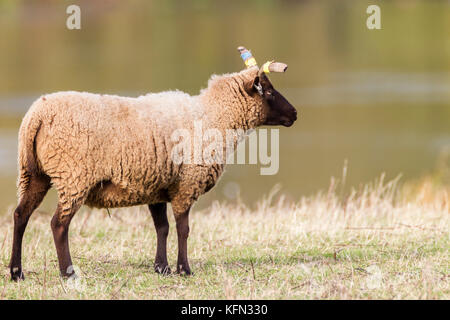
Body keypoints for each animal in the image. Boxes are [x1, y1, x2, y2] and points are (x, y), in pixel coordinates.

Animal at [8, 47, 298, 280]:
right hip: (73, 177)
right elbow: (183, 229)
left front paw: (162, 268)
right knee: (58, 225)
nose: (295, 113)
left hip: (33, 174)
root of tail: (37, 115)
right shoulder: (187, 183)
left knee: (20, 215)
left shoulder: (156, 186)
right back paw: (67, 273)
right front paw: (184, 269)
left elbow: (163, 228)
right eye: (268, 91)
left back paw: (16, 272)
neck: (215, 116)